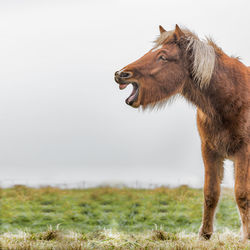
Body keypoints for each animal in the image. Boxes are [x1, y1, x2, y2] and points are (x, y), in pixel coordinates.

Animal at [114, 24, 249, 240]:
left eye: (162, 56)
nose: (121, 74)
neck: (232, 96)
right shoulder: (209, 151)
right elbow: (211, 193)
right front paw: (205, 235)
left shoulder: (244, 151)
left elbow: (242, 194)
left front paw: (246, 237)